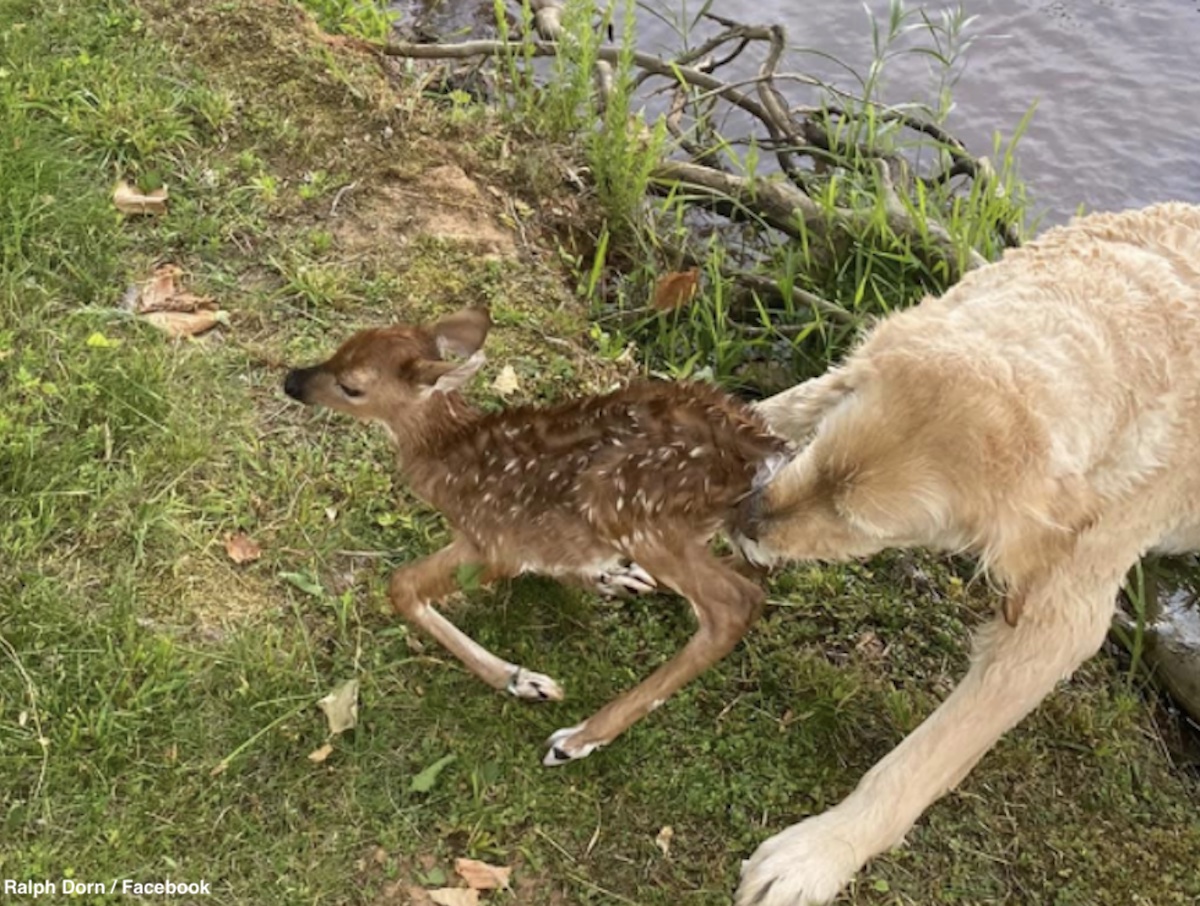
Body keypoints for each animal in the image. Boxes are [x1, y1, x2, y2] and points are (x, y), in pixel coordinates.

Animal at [729, 204, 1200, 906]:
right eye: (822, 453)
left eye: (856, 522)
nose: (745, 518)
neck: (1113, 324)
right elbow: (772, 410)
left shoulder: (1056, 624)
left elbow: (925, 758)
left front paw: (817, 854)